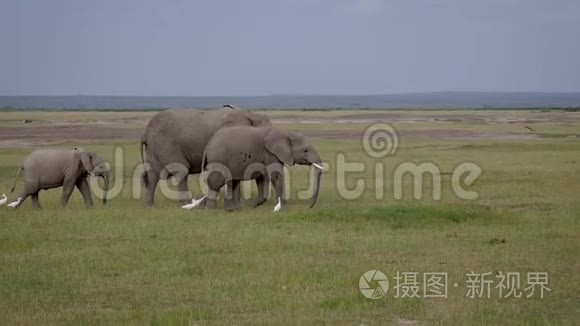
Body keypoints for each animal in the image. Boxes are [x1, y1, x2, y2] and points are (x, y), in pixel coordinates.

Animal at [139, 104, 270, 206]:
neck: (252, 116)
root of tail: (145, 132)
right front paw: (238, 204)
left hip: (155, 147)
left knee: (153, 174)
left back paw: (150, 206)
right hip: (166, 145)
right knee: (181, 171)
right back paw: (186, 204)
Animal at [184, 126, 324, 213]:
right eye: (305, 150)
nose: (309, 207)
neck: (286, 133)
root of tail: (209, 144)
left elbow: (262, 178)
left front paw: (253, 206)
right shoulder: (270, 154)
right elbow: (276, 175)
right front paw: (281, 209)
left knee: (231, 183)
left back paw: (232, 210)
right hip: (218, 158)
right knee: (216, 183)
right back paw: (211, 210)